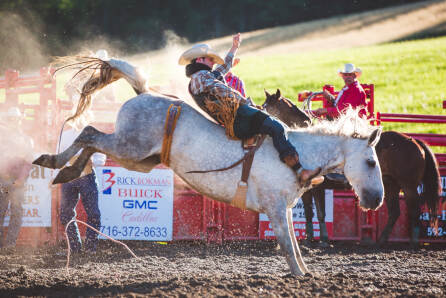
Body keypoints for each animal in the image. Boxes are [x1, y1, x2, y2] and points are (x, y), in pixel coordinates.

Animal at [33, 57, 386, 276]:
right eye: (370, 161)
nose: (376, 199)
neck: (299, 152)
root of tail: (144, 92)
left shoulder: (283, 208)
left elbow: (295, 244)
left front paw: (304, 270)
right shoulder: (274, 206)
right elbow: (288, 245)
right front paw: (299, 274)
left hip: (138, 158)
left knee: (91, 140)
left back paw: (65, 170)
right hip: (128, 146)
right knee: (89, 133)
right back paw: (55, 163)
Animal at [264, 89, 440, 247]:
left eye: (266, 107)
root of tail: (415, 141)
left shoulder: (319, 188)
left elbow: (320, 213)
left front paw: (324, 240)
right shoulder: (307, 190)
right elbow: (308, 212)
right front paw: (309, 239)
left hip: (408, 185)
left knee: (414, 210)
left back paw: (413, 242)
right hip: (391, 185)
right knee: (395, 212)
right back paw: (381, 241)